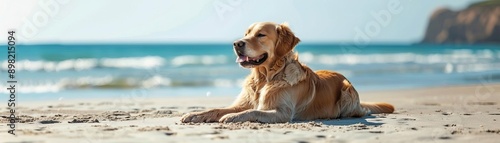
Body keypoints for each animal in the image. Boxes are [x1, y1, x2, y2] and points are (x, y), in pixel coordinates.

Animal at [180, 21, 394, 123]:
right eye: (246, 33)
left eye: (260, 35)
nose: (236, 43)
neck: (265, 78)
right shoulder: (241, 103)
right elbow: (217, 109)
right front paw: (195, 115)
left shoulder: (282, 112)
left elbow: (252, 111)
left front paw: (231, 118)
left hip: (347, 92)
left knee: (361, 111)